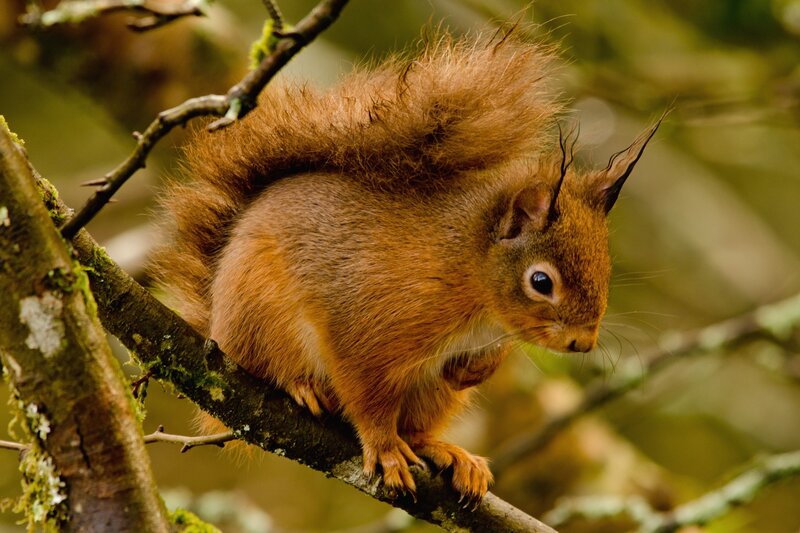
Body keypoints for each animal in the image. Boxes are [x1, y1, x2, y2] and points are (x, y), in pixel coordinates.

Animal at [151, 30, 660, 503]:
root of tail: (217, 322)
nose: (582, 343)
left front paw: (476, 370)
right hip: (260, 316)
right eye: (540, 281)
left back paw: (448, 452)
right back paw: (301, 385)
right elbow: (367, 395)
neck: (470, 276)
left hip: (432, 396)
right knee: (270, 363)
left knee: (419, 425)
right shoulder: (371, 324)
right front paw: (384, 449)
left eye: (606, 268)